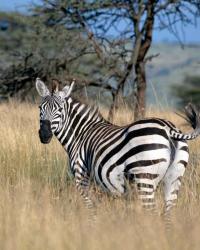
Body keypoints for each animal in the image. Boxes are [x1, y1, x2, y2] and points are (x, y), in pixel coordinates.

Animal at [35, 78, 200, 217]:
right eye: (40, 108)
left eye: (60, 110)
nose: (44, 134)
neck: (80, 134)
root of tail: (168, 129)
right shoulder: (104, 186)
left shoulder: (82, 176)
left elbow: (91, 210)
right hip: (174, 178)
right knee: (167, 214)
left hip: (144, 177)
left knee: (151, 212)